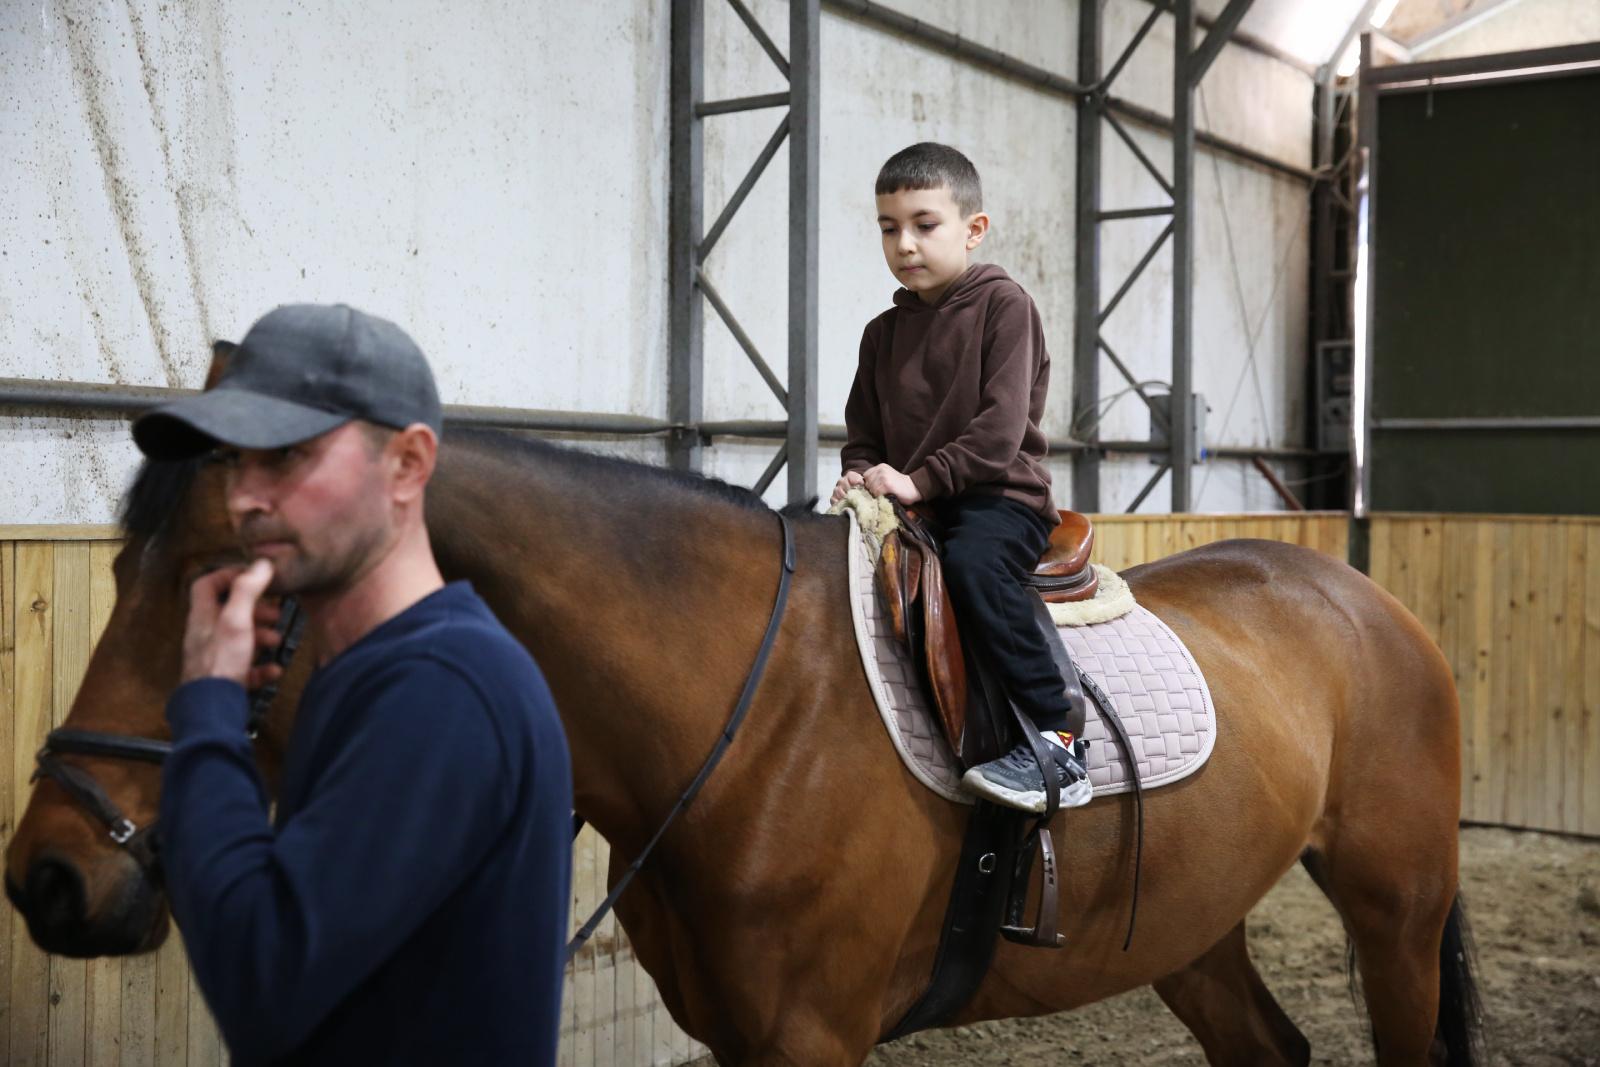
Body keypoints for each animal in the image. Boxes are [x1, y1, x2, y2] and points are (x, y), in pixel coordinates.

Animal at [3, 428, 1472, 1067]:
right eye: (122, 566)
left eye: (232, 589)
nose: (50, 874)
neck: (743, 709)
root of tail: (1370, 600)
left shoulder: (811, 1037)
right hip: (1191, 925)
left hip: (1395, 908)